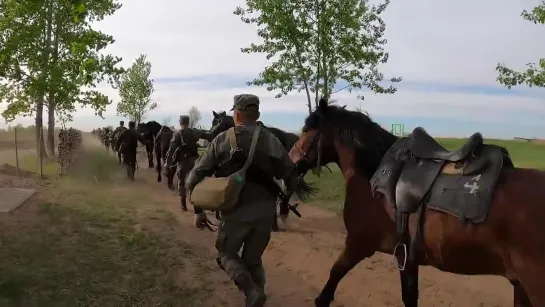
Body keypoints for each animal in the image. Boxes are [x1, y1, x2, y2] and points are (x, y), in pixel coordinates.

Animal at [286, 98, 544, 307]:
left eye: (307, 131)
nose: (290, 163)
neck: (372, 175)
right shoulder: (407, 259)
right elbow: (409, 297)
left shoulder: (359, 244)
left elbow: (332, 279)